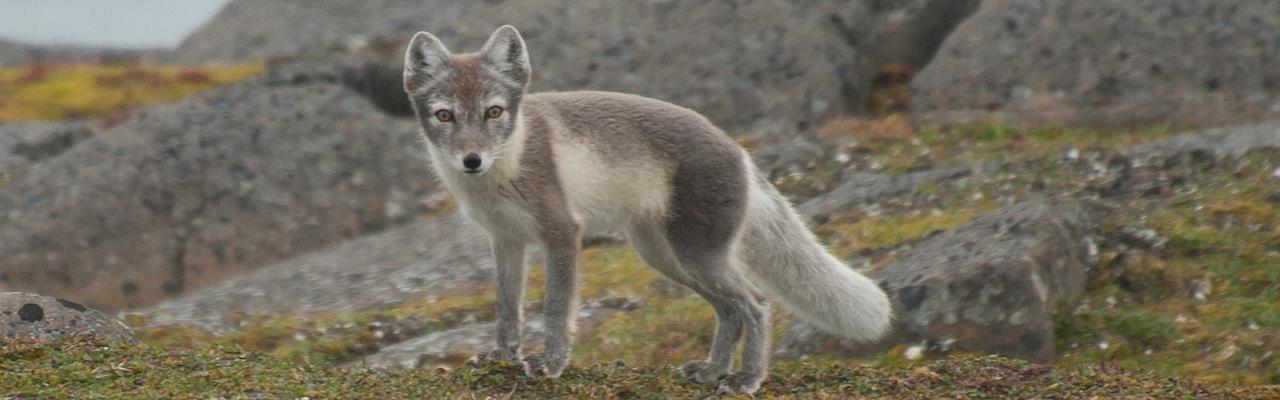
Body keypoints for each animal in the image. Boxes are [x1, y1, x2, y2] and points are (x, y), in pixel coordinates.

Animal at [401, 25, 890, 397]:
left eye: (494, 112)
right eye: (444, 116)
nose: (471, 160)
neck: (505, 167)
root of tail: (740, 151)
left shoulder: (561, 232)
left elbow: (556, 308)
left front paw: (550, 364)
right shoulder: (505, 241)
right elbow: (506, 309)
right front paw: (502, 358)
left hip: (697, 255)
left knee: (755, 304)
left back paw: (745, 379)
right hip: (667, 258)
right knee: (729, 312)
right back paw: (711, 371)